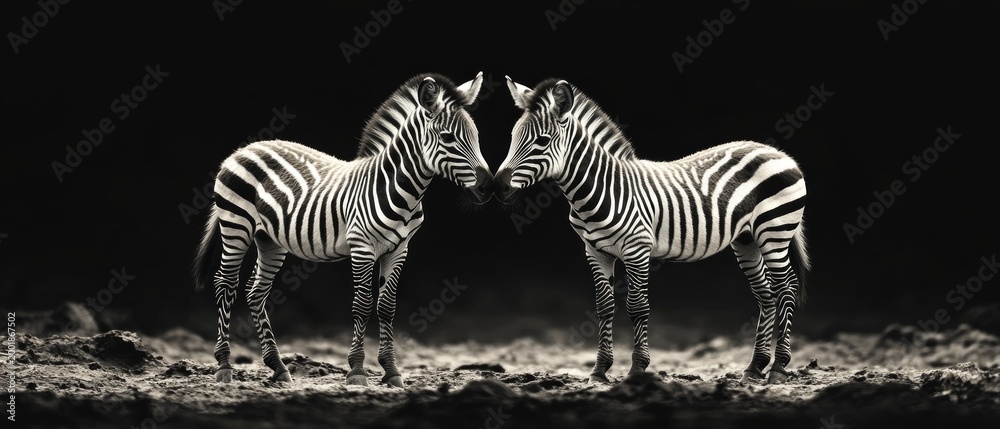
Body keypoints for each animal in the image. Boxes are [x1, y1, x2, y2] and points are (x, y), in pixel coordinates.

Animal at [192, 72, 492, 387]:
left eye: (476, 137)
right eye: (448, 138)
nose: (488, 187)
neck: (399, 189)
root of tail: (243, 150)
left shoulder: (399, 249)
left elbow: (387, 306)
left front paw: (391, 371)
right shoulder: (362, 246)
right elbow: (362, 304)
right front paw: (357, 369)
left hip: (269, 239)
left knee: (255, 292)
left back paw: (278, 366)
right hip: (236, 226)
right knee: (225, 284)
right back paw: (224, 365)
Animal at [494, 77, 810, 384]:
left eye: (542, 141)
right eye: (512, 137)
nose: (499, 187)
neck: (601, 188)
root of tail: (776, 152)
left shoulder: (637, 248)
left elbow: (637, 306)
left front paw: (637, 368)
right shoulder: (595, 251)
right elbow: (604, 307)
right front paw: (599, 370)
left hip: (774, 231)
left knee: (786, 289)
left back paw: (779, 367)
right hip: (746, 240)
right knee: (765, 294)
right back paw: (755, 367)